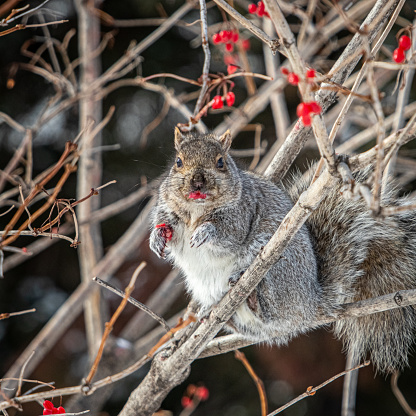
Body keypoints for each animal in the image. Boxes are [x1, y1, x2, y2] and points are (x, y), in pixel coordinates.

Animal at [150, 127, 416, 374]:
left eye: (220, 162)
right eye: (178, 162)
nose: (197, 181)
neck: (197, 209)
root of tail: (311, 303)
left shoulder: (242, 213)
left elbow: (229, 233)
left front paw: (205, 231)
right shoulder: (169, 211)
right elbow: (167, 226)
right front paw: (157, 238)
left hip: (278, 271)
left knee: (274, 313)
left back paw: (250, 293)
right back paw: (212, 311)